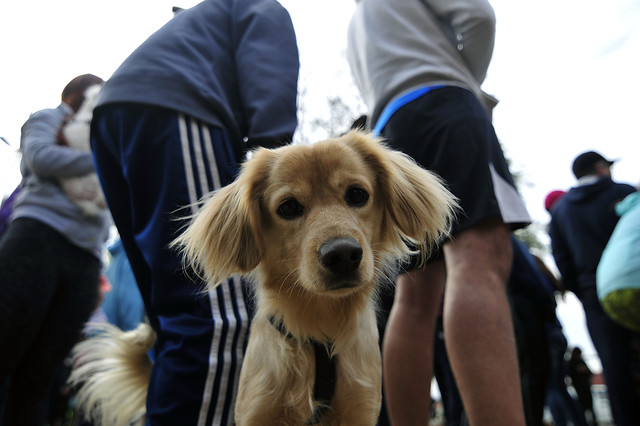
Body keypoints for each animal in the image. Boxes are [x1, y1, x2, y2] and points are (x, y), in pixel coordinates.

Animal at [70, 131, 458, 424]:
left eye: (357, 195)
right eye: (288, 207)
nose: (343, 255)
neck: (320, 332)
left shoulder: (359, 410)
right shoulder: (259, 411)